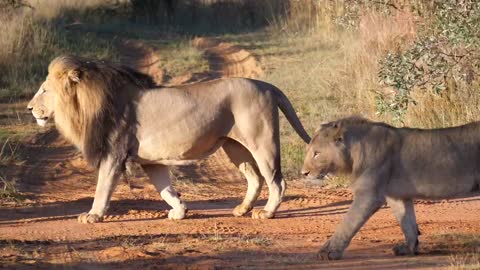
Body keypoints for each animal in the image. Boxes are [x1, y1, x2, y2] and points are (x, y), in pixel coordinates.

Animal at [27, 54, 312, 224]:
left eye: (44, 90)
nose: (29, 108)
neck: (87, 103)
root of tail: (266, 85)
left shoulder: (113, 154)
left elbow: (102, 188)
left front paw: (93, 215)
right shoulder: (150, 161)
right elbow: (165, 188)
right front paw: (179, 211)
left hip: (262, 141)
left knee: (277, 181)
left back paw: (267, 213)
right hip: (234, 146)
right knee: (254, 178)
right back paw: (242, 210)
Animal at [302, 116, 478, 260]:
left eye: (317, 153)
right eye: (309, 151)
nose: (304, 173)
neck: (354, 152)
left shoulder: (369, 195)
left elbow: (348, 222)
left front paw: (329, 251)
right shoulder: (397, 196)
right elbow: (407, 222)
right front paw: (408, 248)